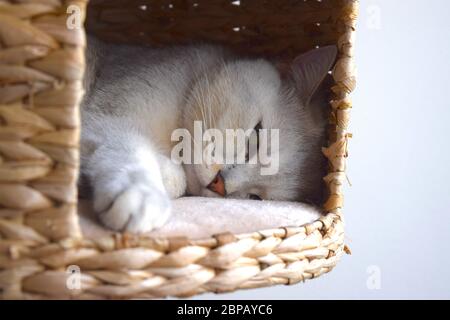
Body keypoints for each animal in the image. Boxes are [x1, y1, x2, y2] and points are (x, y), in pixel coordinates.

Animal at [80, 37, 338, 232]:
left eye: (256, 198)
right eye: (256, 135)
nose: (219, 184)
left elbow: (177, 177)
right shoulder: (108, 118)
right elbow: (133, 151)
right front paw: (143, 196)